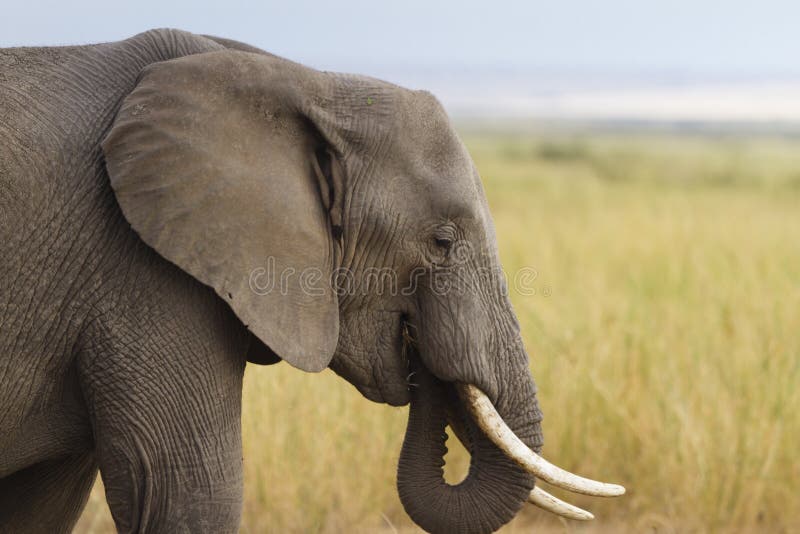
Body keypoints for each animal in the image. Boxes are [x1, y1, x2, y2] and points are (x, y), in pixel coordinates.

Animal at [0, 29, 624, 534]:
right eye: (442, 242)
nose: (421, 355)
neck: (303, 81)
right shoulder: (142, 267)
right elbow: (186, 496)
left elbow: (41, 509)